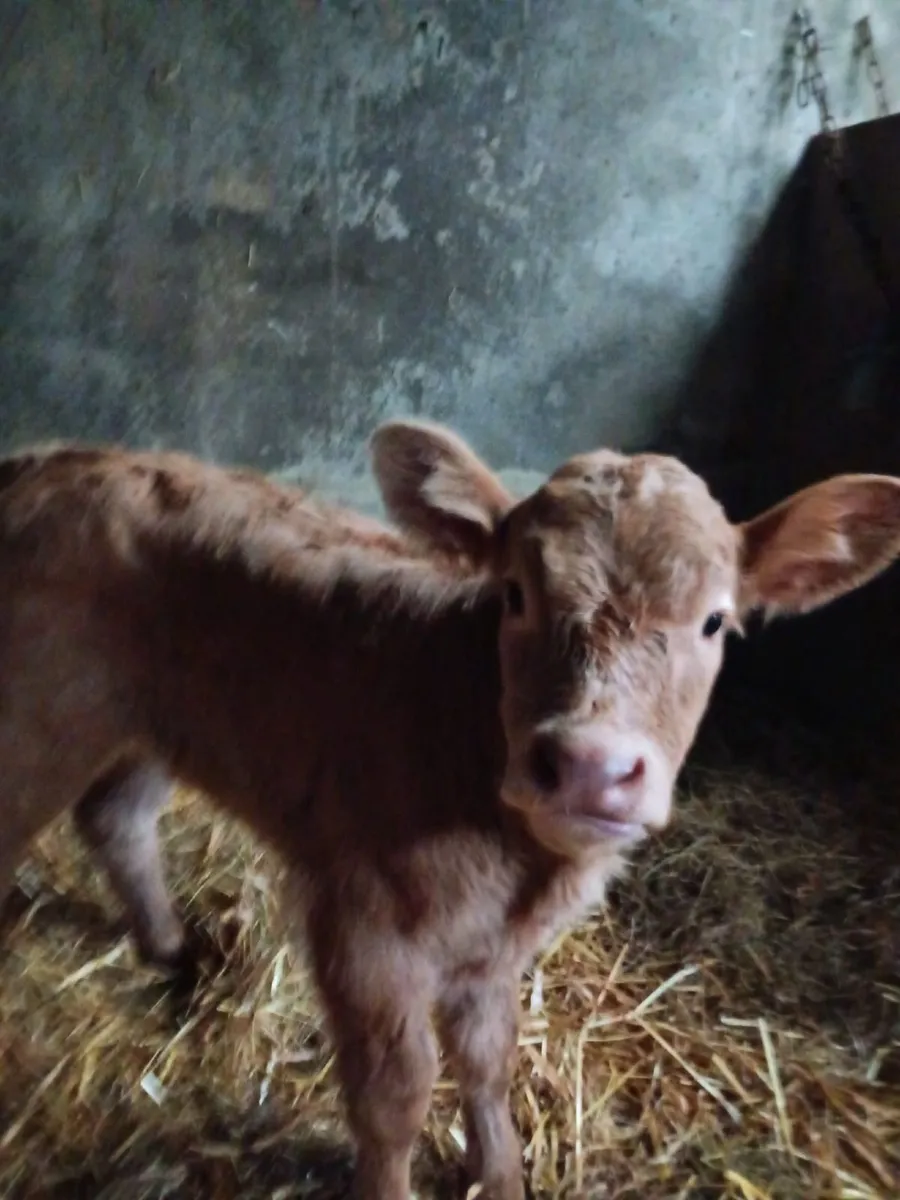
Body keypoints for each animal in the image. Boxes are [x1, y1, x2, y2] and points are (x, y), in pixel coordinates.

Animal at [2, 421, 900, 1200]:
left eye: (714, 619)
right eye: (515, 595)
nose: (589, 766)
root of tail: (49, 460)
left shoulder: (498, 949)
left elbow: (489, 1060)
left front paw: (499, 1177)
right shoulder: (363, 924)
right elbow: (396, 1096)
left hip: (151, 726)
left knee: (116, 817)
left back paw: (170, 949)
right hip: (40, 725)